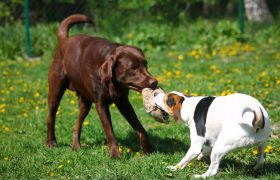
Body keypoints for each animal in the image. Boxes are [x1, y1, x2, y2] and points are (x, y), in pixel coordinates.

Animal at [46, 14, 158, 158]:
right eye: (133, 68)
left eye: (146, 65)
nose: (154, 82)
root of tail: (64, 40)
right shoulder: (101, 105)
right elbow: (109, 131)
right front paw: (115, 155)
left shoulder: (123, 102)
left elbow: (140, 128)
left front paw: (147, 150)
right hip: (56, 91)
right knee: (51, 116)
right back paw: (51, 142)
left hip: (85, 103)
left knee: (78, 123)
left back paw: (76, 146)